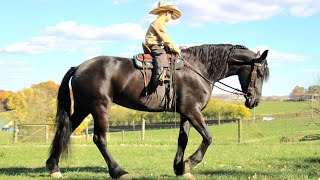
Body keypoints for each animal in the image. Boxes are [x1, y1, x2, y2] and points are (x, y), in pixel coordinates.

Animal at [46, 44, 268, 179]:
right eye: (260, 73)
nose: (255, 100)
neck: (199, 69)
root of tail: (78, 67)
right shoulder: (193, 111)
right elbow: (208, 137)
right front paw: (190, 163)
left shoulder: (186, 112)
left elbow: (183, 139)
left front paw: (180, 167)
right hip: (99, 108)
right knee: (99, 139)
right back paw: (118, 171)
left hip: (83, 108)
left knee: (65, 130)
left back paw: (53, 167)